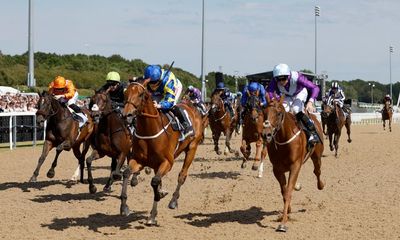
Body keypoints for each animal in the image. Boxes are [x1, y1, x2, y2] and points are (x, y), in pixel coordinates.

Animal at [117, 79, 202, 226]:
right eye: (125, 93)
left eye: (141, 94)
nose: (126, 115)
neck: (150, 130)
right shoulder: (139, 161)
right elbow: (127, 173)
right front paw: (124, 207)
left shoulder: (167, 162)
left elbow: (155, 181)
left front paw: (153, 215)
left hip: (192, 148)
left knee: (182, 175)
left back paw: (173, 201)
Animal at [262, 96, 324, 232]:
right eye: (264, 112)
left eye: (278, 113)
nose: (266, 134)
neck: (284, 140)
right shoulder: (277, 169)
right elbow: (284, 191)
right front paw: (286, 212)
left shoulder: (295, 166)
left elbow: (289, 190)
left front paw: (283, 223)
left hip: (316, 155)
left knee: (317, 171)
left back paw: (321, 185)